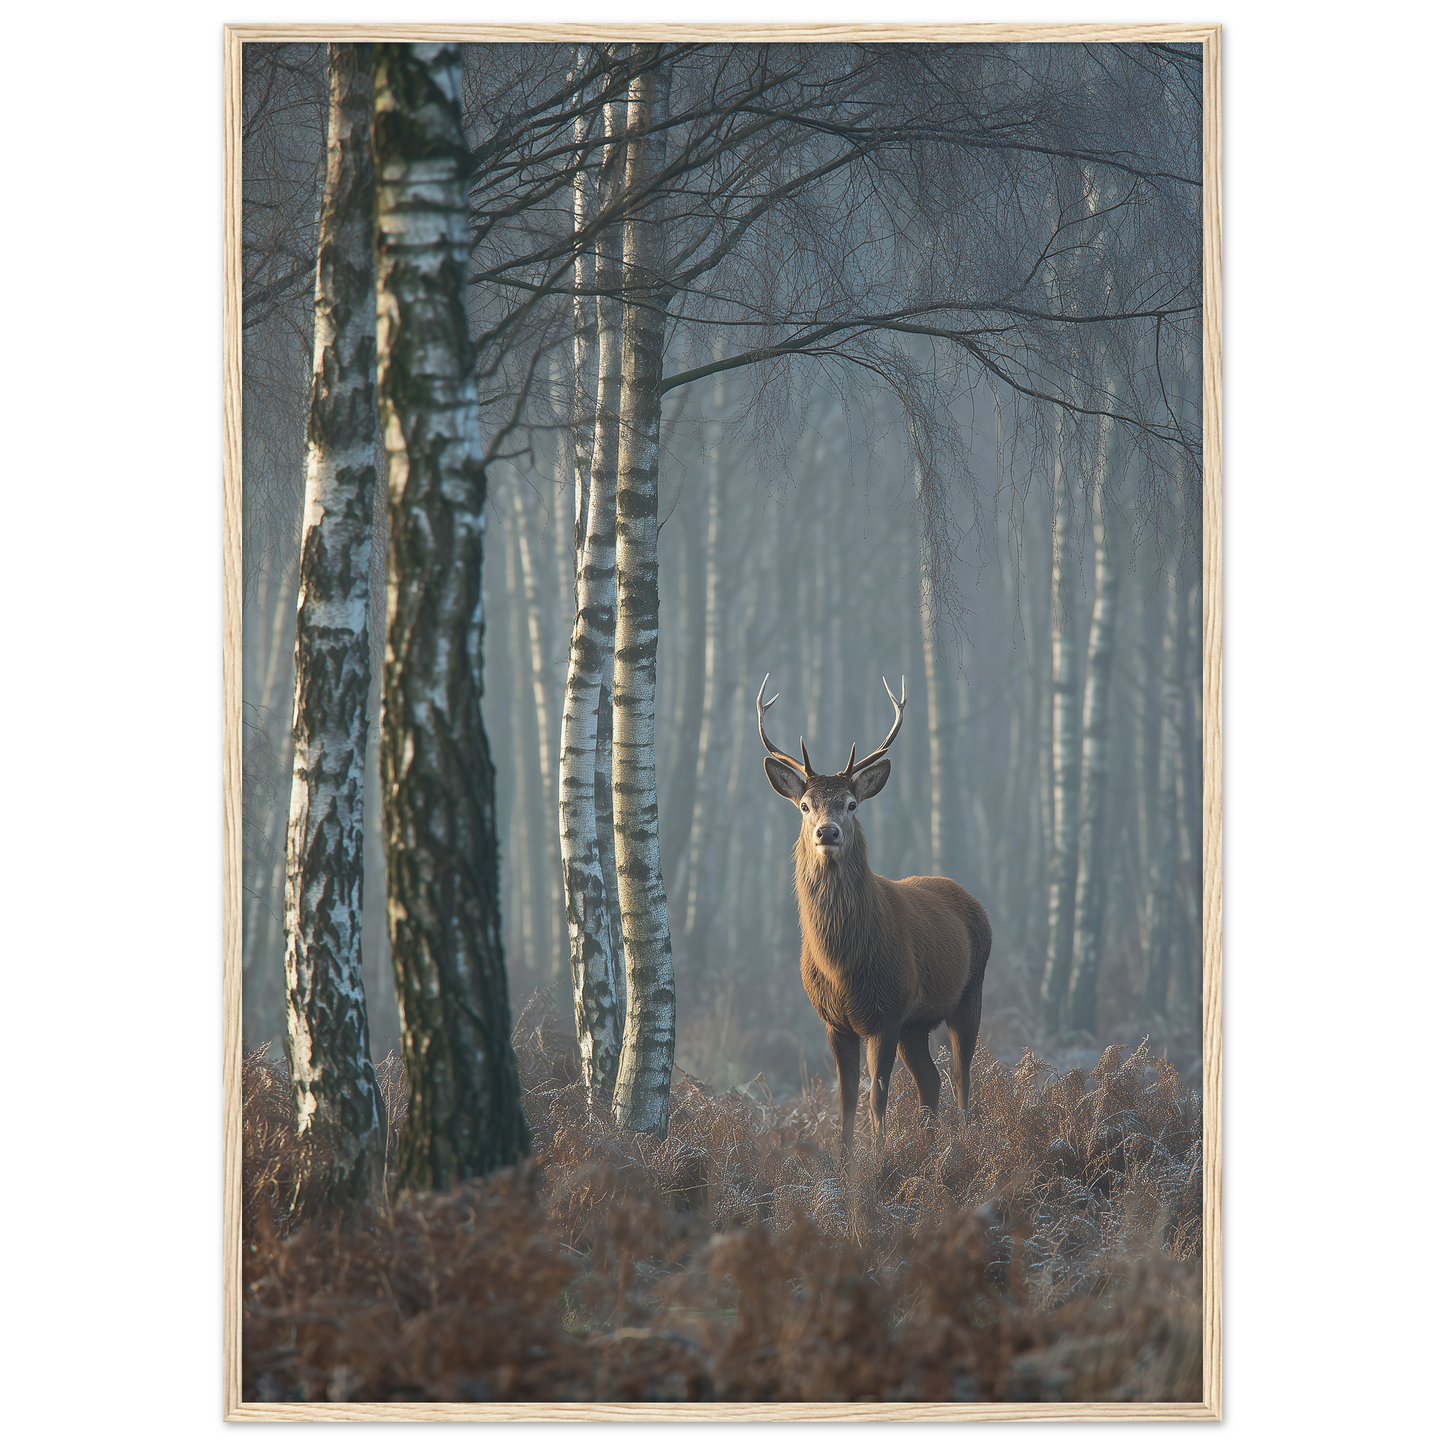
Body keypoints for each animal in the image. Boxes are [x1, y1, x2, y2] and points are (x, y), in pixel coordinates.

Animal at [758, 674, 991, 1164]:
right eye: (805, 805)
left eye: (851, 803)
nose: (827, 832)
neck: (843, 967)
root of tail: (972, 900)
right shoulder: (835, 1021)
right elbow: (845, 1098)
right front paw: (845, 1163)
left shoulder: (885, 1012)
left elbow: (876, 1096)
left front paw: (879, 1160)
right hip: (916, 1024)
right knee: (931, 1082)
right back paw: (930, 1147)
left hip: (969, 992)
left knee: (963, 1078)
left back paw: (964, 1145)